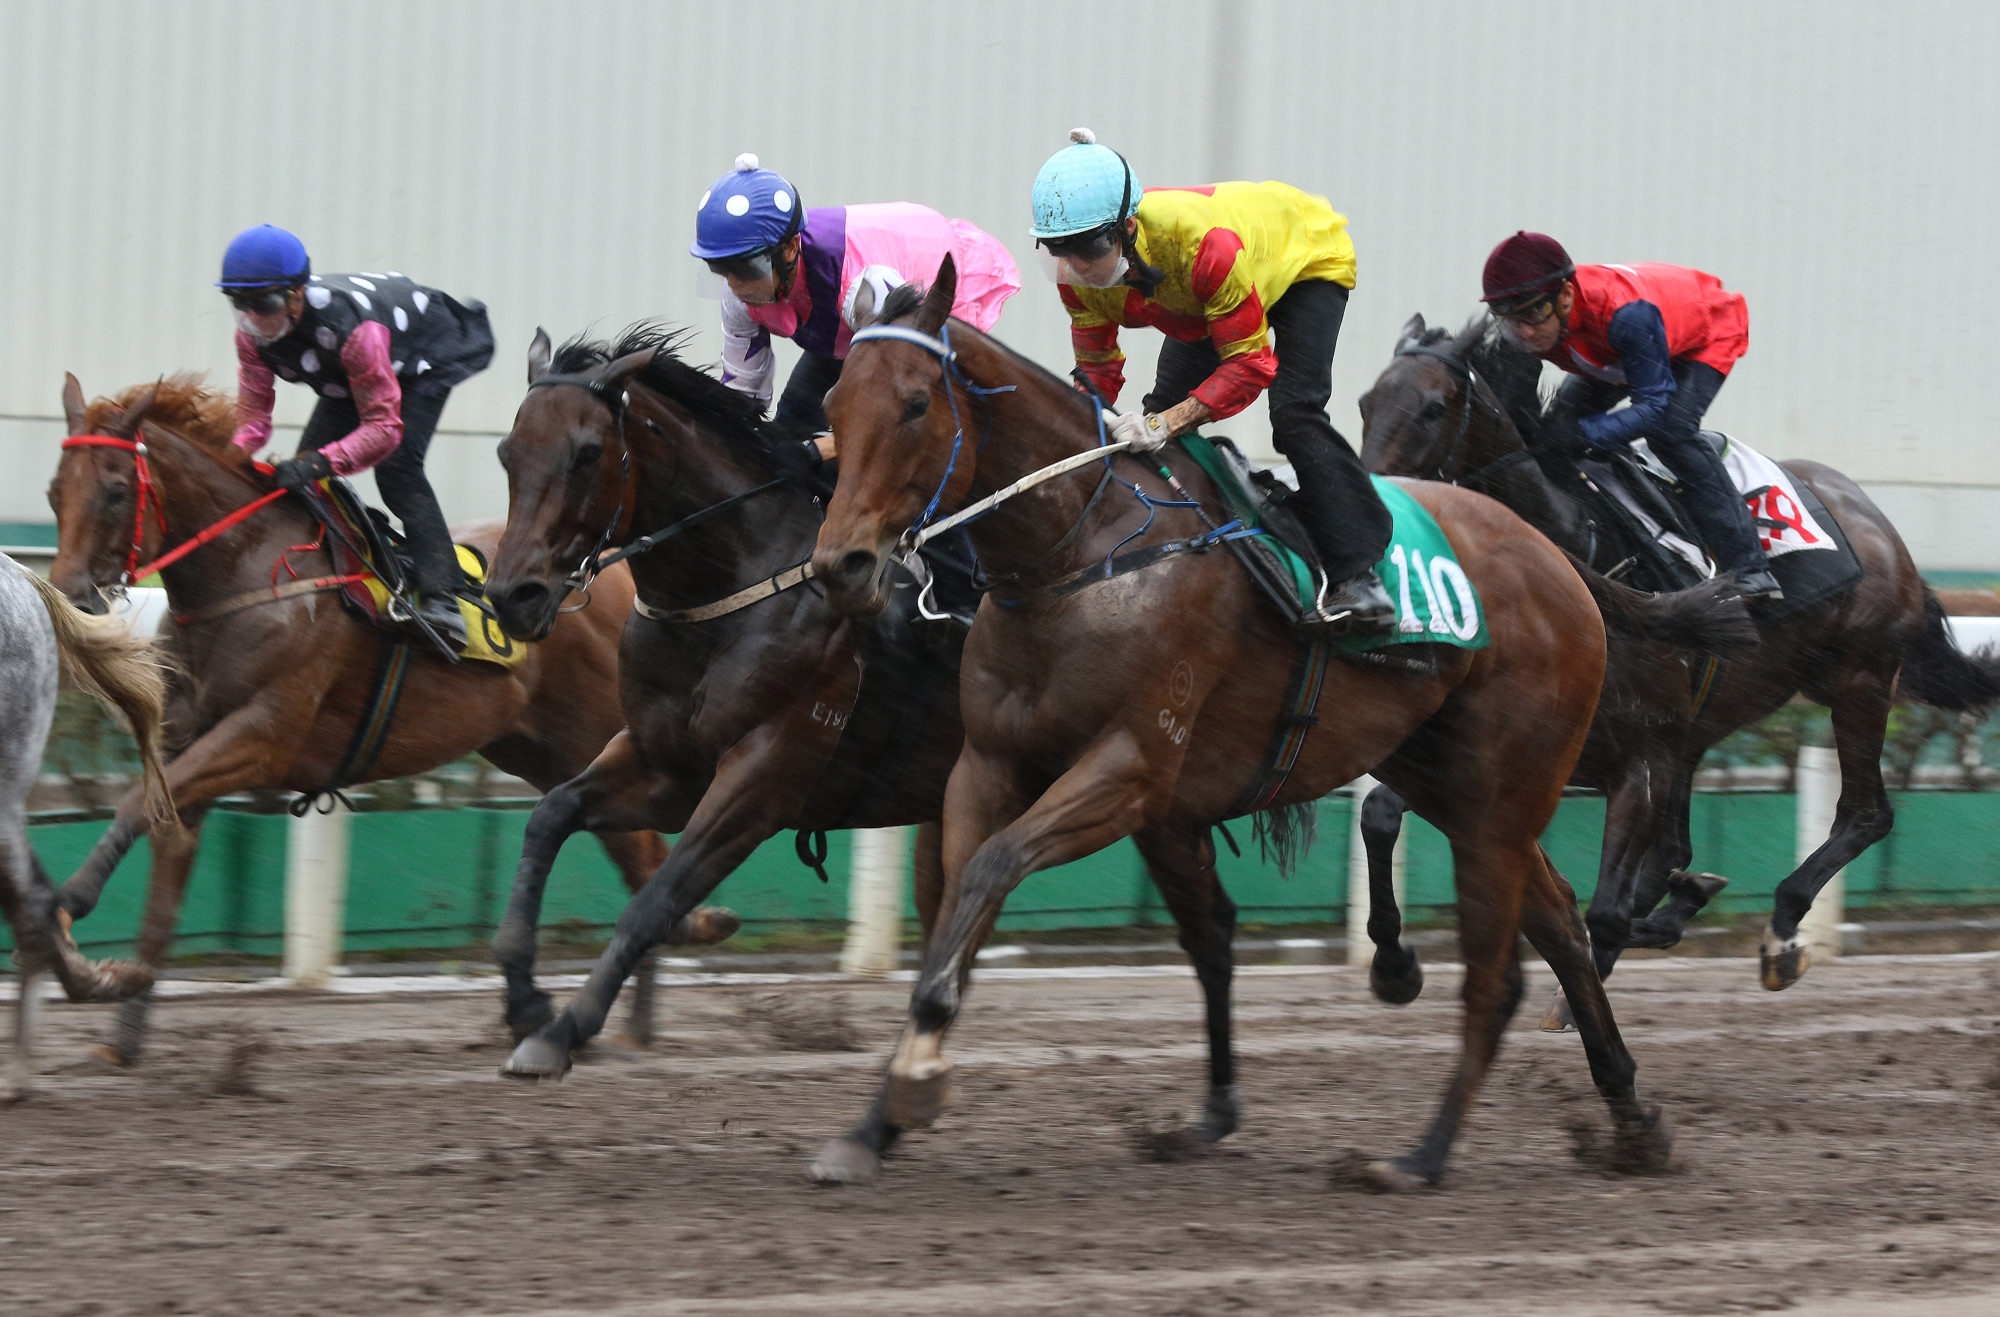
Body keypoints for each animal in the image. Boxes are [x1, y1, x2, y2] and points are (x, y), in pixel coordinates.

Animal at [45, 374, 736, 1064]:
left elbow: (134, 805)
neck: (245, 578)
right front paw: (121, 1027)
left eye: (115, 491)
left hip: (604, 738)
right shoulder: (186, 751)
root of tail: (615, 576)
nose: (71, 598)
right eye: (55, 493)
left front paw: (69, 907)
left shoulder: (263, 735)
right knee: (631, 850)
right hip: (541, 751)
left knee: (642, 852)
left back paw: (636, 999)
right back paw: (635, 998)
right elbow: (161, 882)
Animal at [804, 262, 1664, 1184]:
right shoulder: (991, 763)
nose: (842, 565)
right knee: (1562, 925)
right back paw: (1632, 1117)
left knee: (1495, 975)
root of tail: (1557, 559)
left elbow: (993, 868)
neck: (1082, 549)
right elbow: (959, 902)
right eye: (834, 405)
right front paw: (875, 1121)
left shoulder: (1133, 769)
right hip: (1457, 787)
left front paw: (918, 1071)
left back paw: (1421, 1155)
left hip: (1502, 792)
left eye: (915, 402)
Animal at [1360, 318, 2000, 996]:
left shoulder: (1631, 749)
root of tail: (1882, 528)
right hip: (1709, 722)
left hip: (1859, 681)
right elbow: (1379, 813)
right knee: (1674, 854)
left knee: (1864, 814)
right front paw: (1395, 962)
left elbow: (1607, 906)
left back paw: (1778, 929)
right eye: (1366, 403)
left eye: (1432, 409)